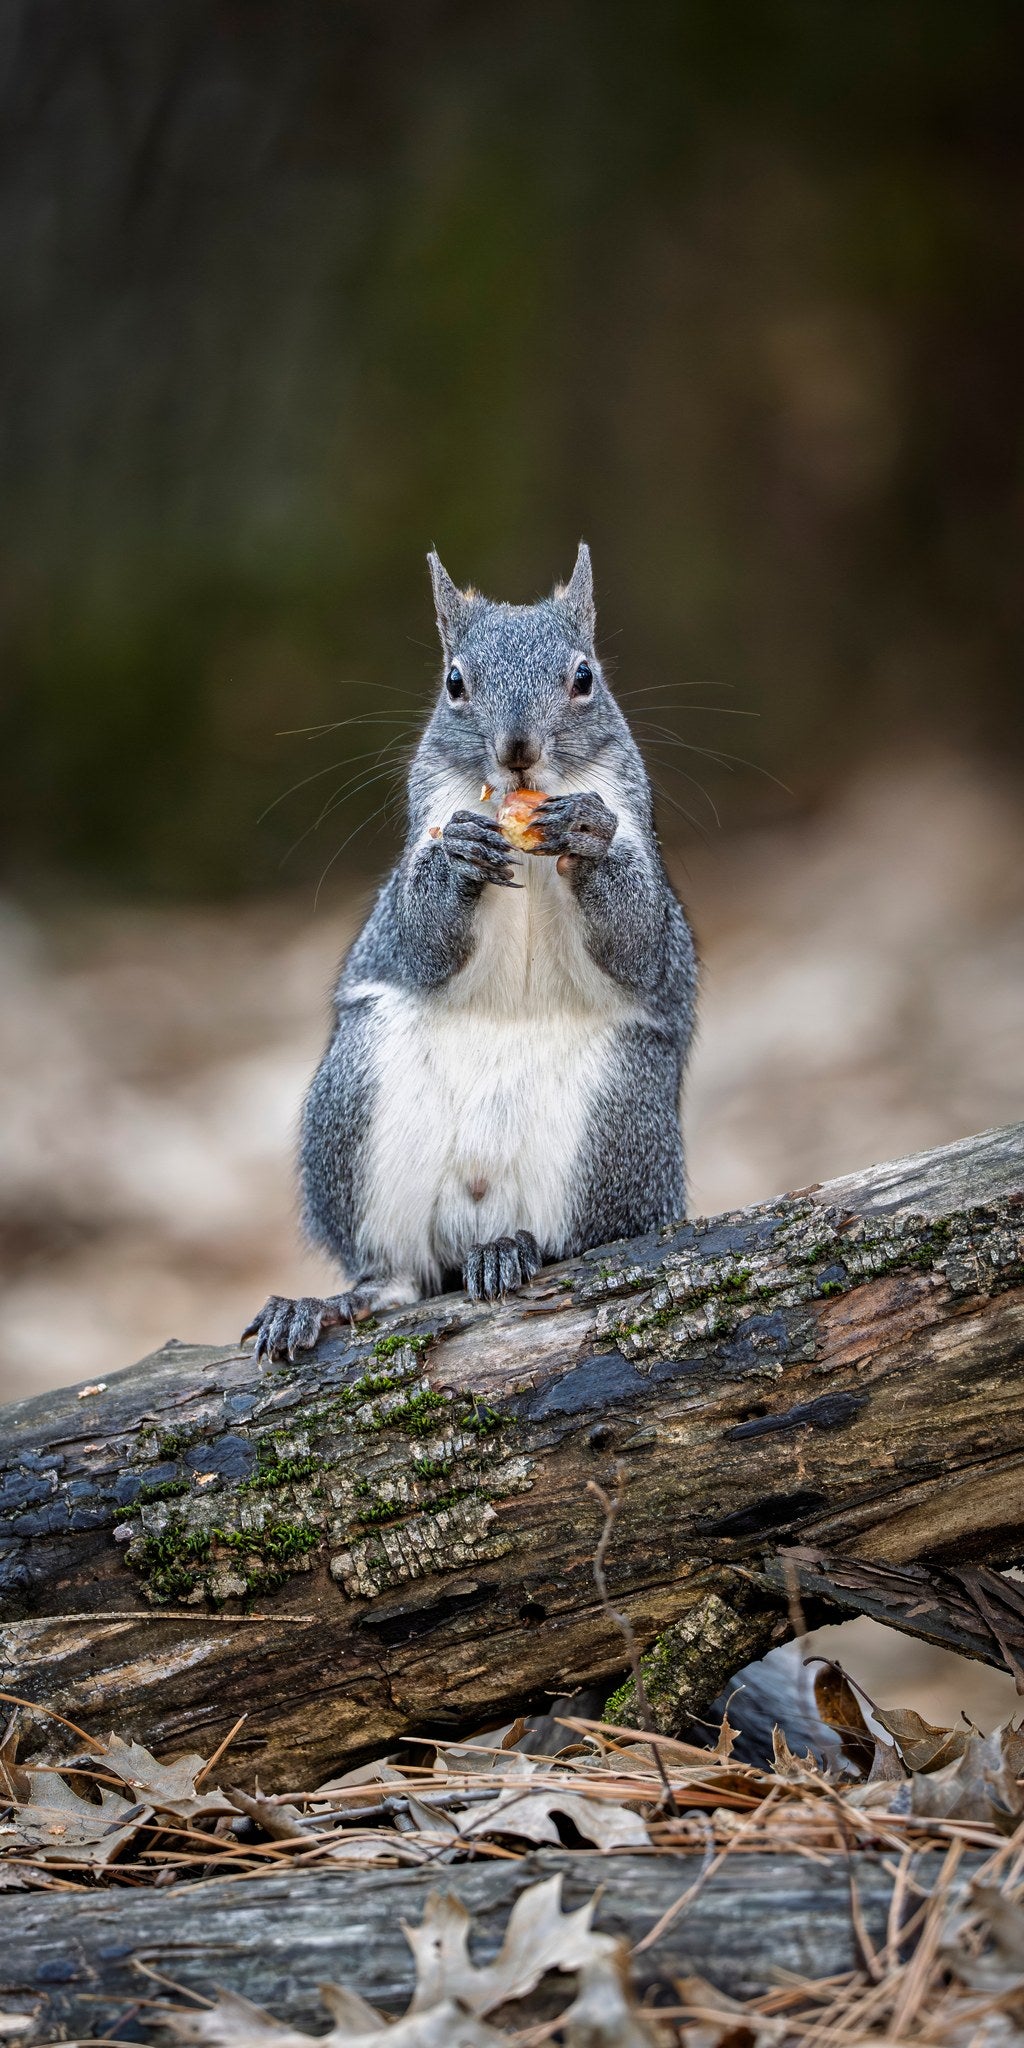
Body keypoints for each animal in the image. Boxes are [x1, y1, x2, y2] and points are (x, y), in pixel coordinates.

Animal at [243, 544, 697, 1361]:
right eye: (455, 682)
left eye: (585, 677)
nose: (518, 752)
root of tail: (474, 1229)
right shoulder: (413, 869)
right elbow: (417, 934)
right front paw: (457, 860)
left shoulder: (648, 886)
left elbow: (641, 939)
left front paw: (589, 835)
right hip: (360, 1107)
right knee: (393, 1276)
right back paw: (325, 1306)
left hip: (619, 1126)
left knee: (587, 1241)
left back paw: (518, 1249)